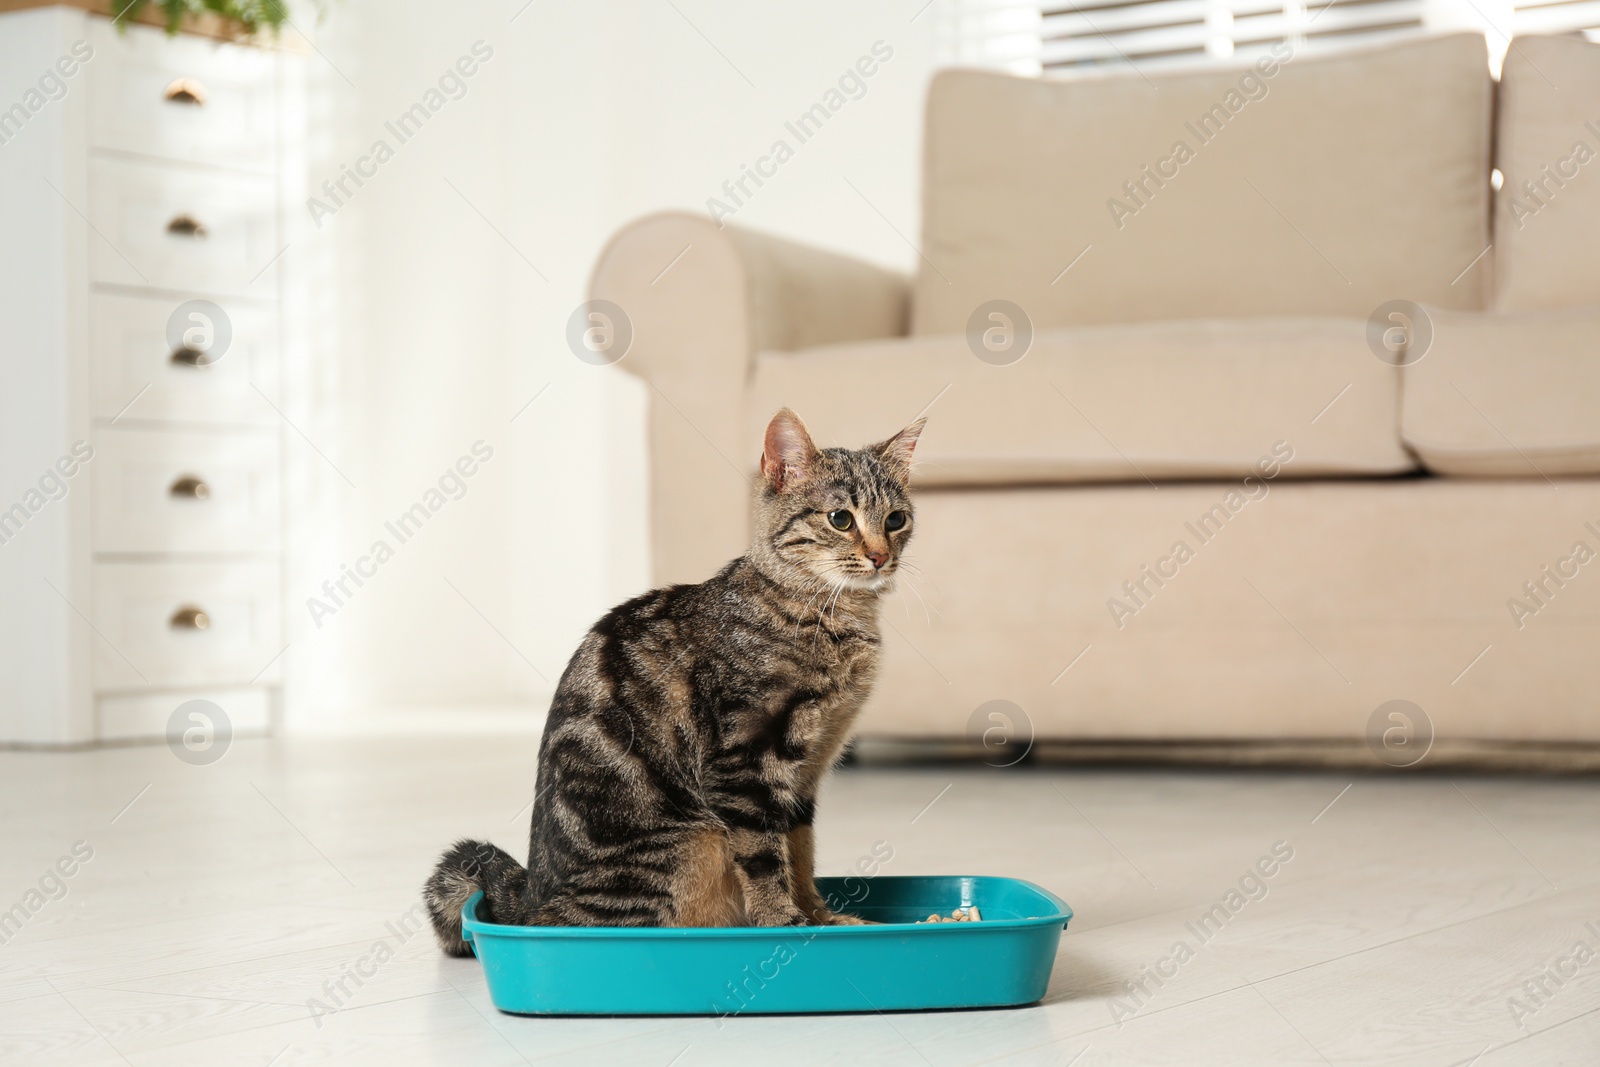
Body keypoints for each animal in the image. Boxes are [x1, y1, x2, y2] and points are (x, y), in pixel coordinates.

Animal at [422, 412, 928, 953]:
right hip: (690, 842)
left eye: (895, 520)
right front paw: (783, 921)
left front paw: (822, 917)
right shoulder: (745, 763)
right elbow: (765, 857)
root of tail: (529, 895)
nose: (880, 556)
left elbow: (801, 851)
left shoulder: (807, 770)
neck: (828, 613)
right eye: (840, 519)